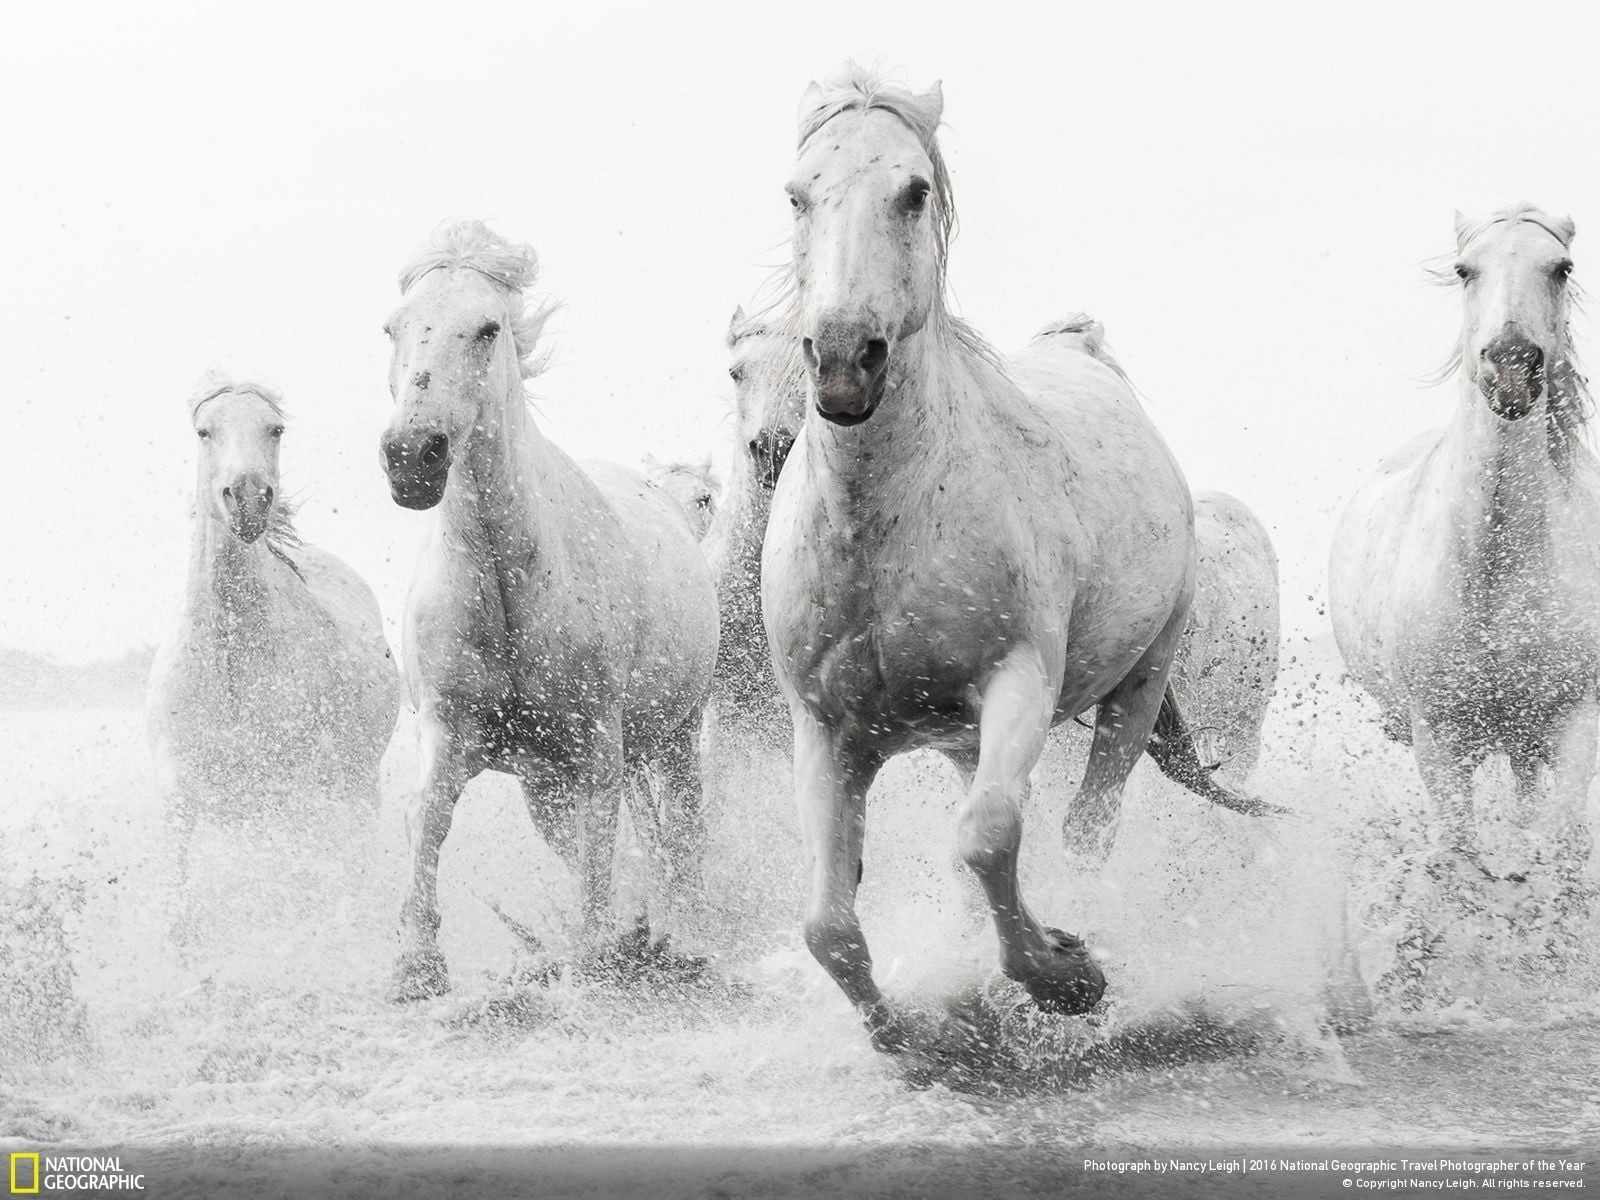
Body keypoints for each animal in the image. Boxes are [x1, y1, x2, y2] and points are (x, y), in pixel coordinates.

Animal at [147, 371, 400, 881]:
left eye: (275, 429)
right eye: (204, 431)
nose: (247, 500)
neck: (229, 665)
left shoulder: (283, 800)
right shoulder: (179, 802)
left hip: (356, 789)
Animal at [378, 220, 720, 1001]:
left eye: (487, 328)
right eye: (394, 327)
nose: (411, 455)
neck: (507, 584)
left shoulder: (598, 743)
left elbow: (600, 850)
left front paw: (589, 961)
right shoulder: (447, 732)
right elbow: (428, 821)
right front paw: (417, 966)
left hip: (675, 734)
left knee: (680, 832)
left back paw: (683, 934)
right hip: (545, 780)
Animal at [758, 67, 1273, 1048]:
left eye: (914, 191)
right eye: (796, 194)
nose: (843, 362)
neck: (888, 530)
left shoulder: (1020, 681)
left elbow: (990, 837)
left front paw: (1066, 978)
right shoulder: (827, 733)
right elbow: (826, 924)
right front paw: (905, 1034)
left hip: (1137, 687)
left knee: (1083, 829)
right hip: (965, 739)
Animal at [1329, 205, 1599, 882]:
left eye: (1561, 267)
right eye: (1463, 269)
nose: (1510, 367)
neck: (1498, 565)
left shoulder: (1576, 723)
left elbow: (1556, 846)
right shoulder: (1442, 738)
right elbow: (1460, 860)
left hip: (1527, 741)